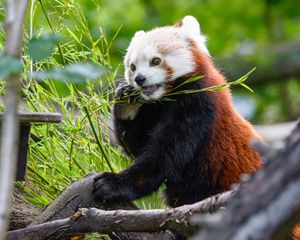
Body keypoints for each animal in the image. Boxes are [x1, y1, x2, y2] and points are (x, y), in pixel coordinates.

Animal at [92, 15, 262, 208]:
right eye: (133, 67)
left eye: (155, 60)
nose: (139, 79)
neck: (168, 97)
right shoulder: (154, 109)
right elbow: (138, 146)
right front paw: (125, 102)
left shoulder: (199, 106)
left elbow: (164, 158)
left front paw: (113, 184)